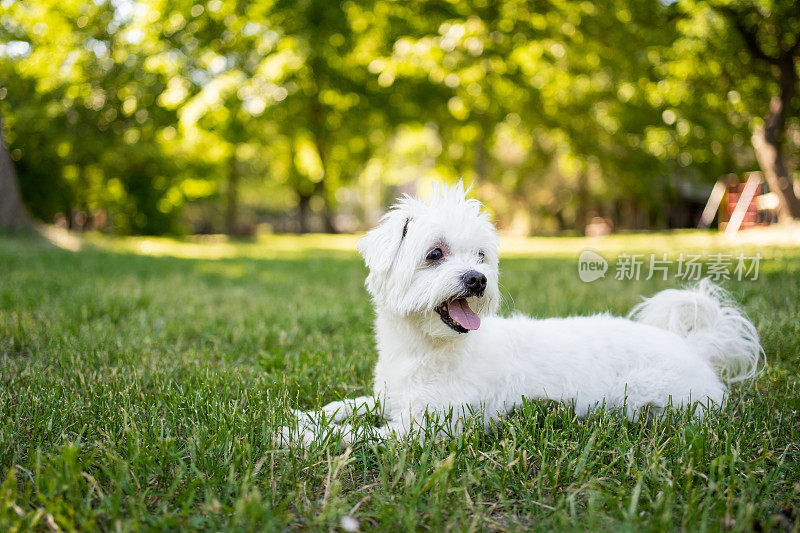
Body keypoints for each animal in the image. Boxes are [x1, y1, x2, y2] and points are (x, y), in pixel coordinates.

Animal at [282, 183, 764, 444]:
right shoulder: (390, 397)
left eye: (481, 255)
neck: (427, 348)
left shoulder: (428, 426)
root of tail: (694, 347)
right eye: (434, 254)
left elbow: (356, 434)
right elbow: (348, 408)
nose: (478, 279)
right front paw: (306, 417)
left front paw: (296, 437)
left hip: (654, 396)